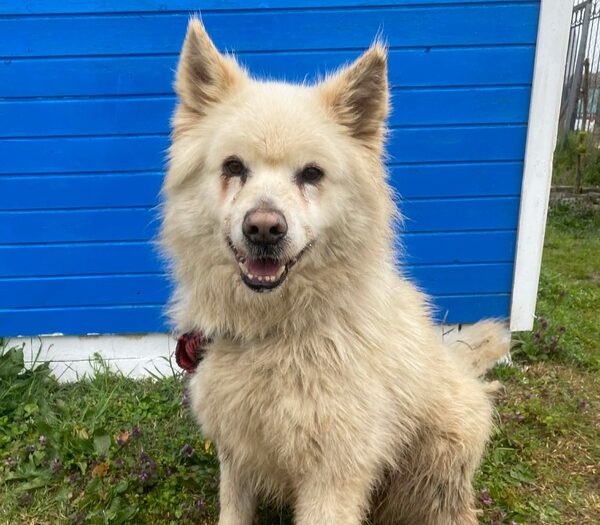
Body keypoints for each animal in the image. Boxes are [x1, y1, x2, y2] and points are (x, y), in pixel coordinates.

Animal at [161, 18, 509, 525]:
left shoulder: (334, 478)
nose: (263, 229)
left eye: (311, 174)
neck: (276, 334)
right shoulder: (236, 457)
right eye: (233, 167)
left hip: (442, 461)